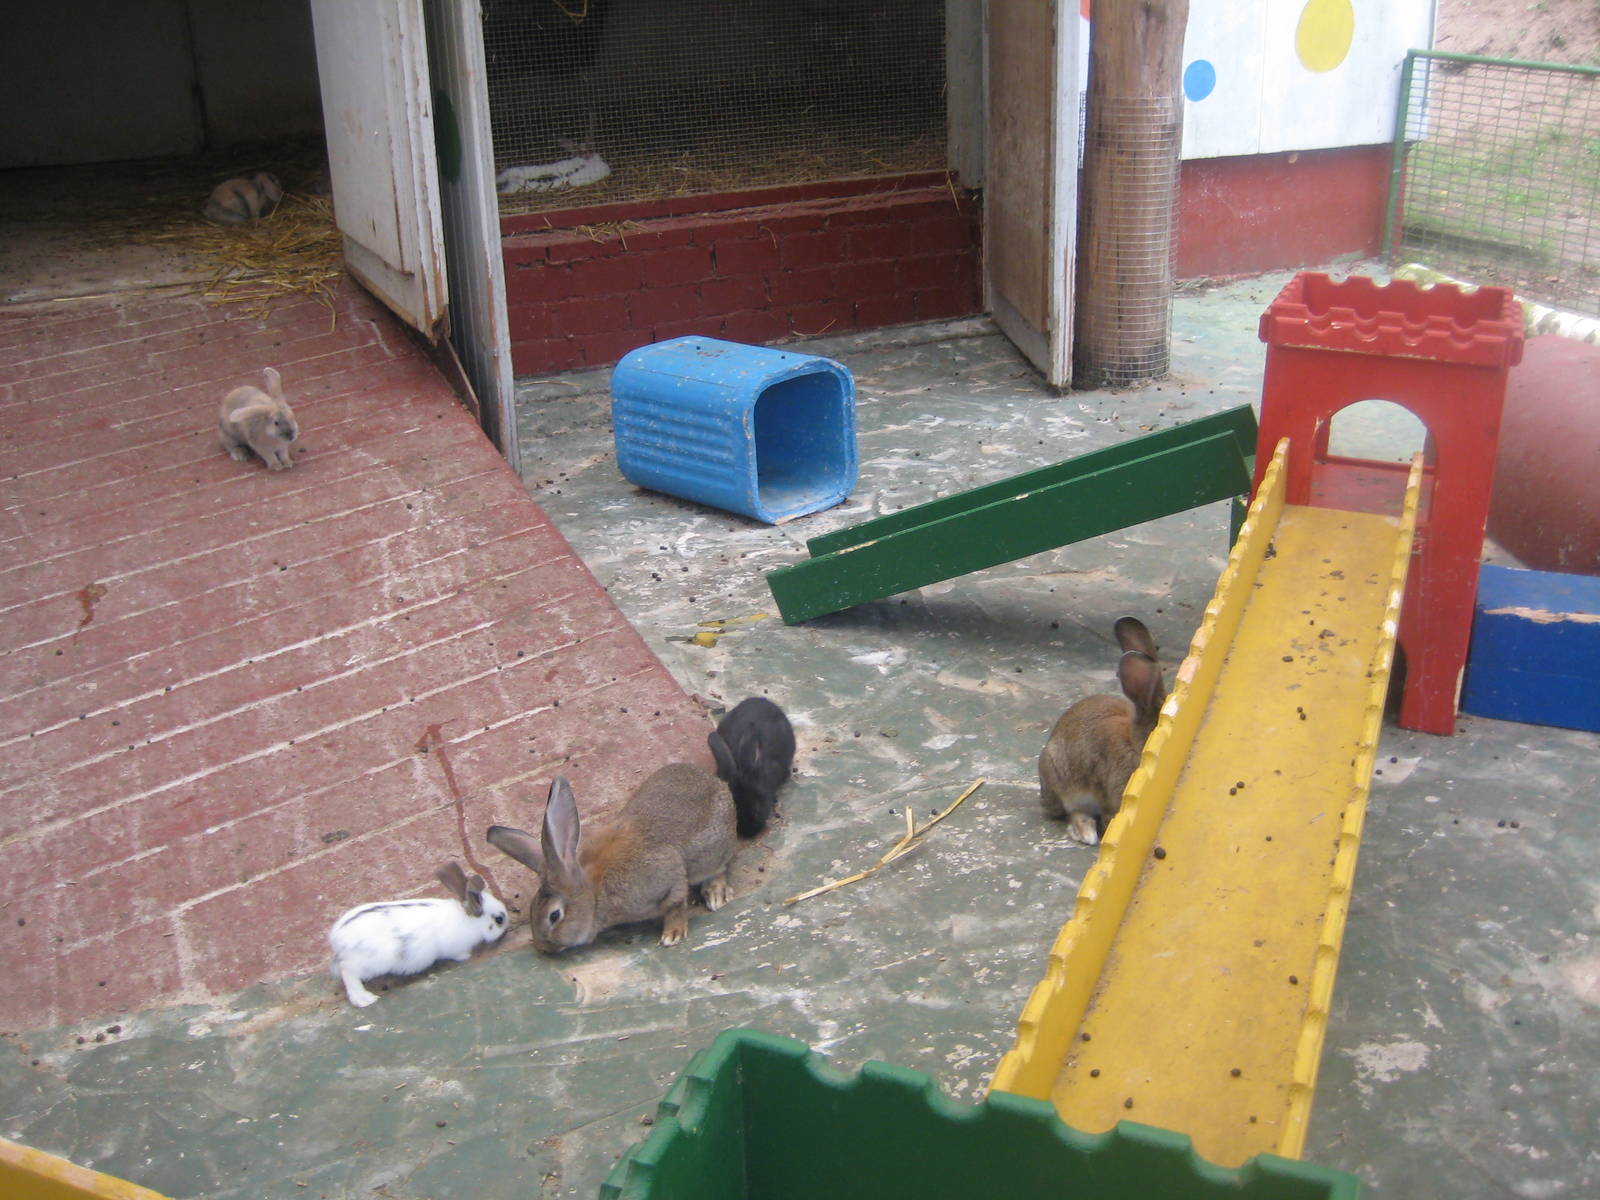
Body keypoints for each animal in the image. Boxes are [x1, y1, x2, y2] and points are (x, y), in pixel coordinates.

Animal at [327, 862, 509, 1007]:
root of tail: (337, 941)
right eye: (499, 919)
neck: (469, 920)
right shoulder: (455, 948)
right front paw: (467, 956)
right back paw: (364, 999)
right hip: (369, 963)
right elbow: (458, 954)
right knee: (347, 972)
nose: (507, 928)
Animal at [486, 766, 736, 952]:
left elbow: (675, 902)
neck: (595, 895)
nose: (542, 947)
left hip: (712, 854)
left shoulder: (666, 875)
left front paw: (672, 934)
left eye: (554, 916)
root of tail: (718, 783)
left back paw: (716, 893)